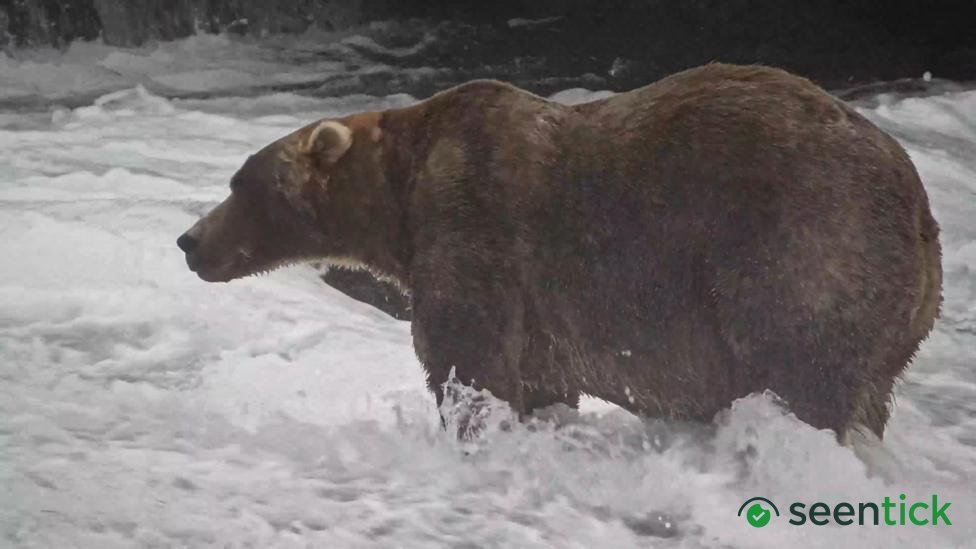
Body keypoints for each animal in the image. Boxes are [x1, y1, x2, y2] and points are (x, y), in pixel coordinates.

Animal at [177, 63, 941, 440]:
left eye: (240, 183)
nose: (189, 241)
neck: (400, 196)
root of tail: (921, 209)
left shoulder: (476, 225)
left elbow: (467, 357)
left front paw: (469, 426)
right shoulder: (542, 314)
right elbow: (540, 378)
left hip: (801, 246)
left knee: (801, 368)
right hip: (897, 319)